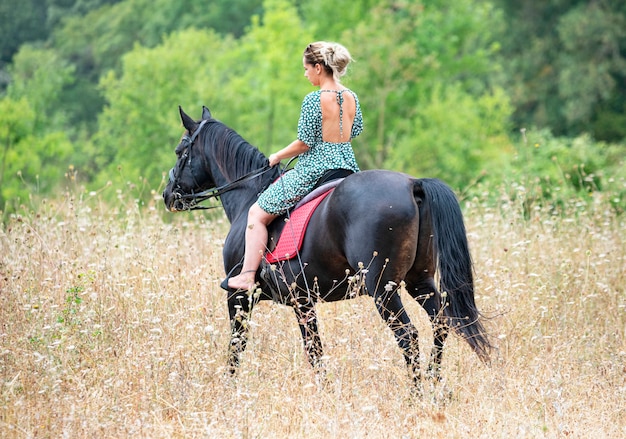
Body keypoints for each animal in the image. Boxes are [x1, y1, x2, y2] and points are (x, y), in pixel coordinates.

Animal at [163, 105, 490, 384]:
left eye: (180, 151)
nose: (168, 195)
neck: (249, 195)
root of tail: (414, 184)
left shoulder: (240, 296)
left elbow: (238, 346)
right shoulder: (303, 301)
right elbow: (315, 351)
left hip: (383, 289)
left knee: (408, 335)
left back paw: (416, 394)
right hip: (419, 281)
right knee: (441, 324)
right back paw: (435, 388)